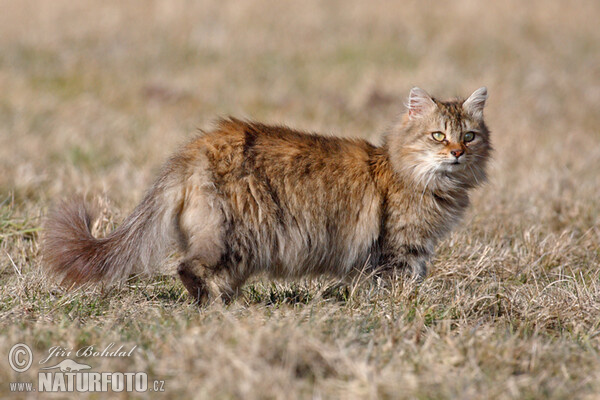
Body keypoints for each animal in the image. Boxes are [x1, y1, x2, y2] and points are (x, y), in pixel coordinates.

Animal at [42, 85, 492, 304]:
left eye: (469, 136)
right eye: (438, 136)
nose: (457, 153)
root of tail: (197, 146)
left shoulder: (413, 251)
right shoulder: (398, 250)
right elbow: (398, 285)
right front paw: (403, 309)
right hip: (238, 235)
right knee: (188, 267)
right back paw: (212, 306)